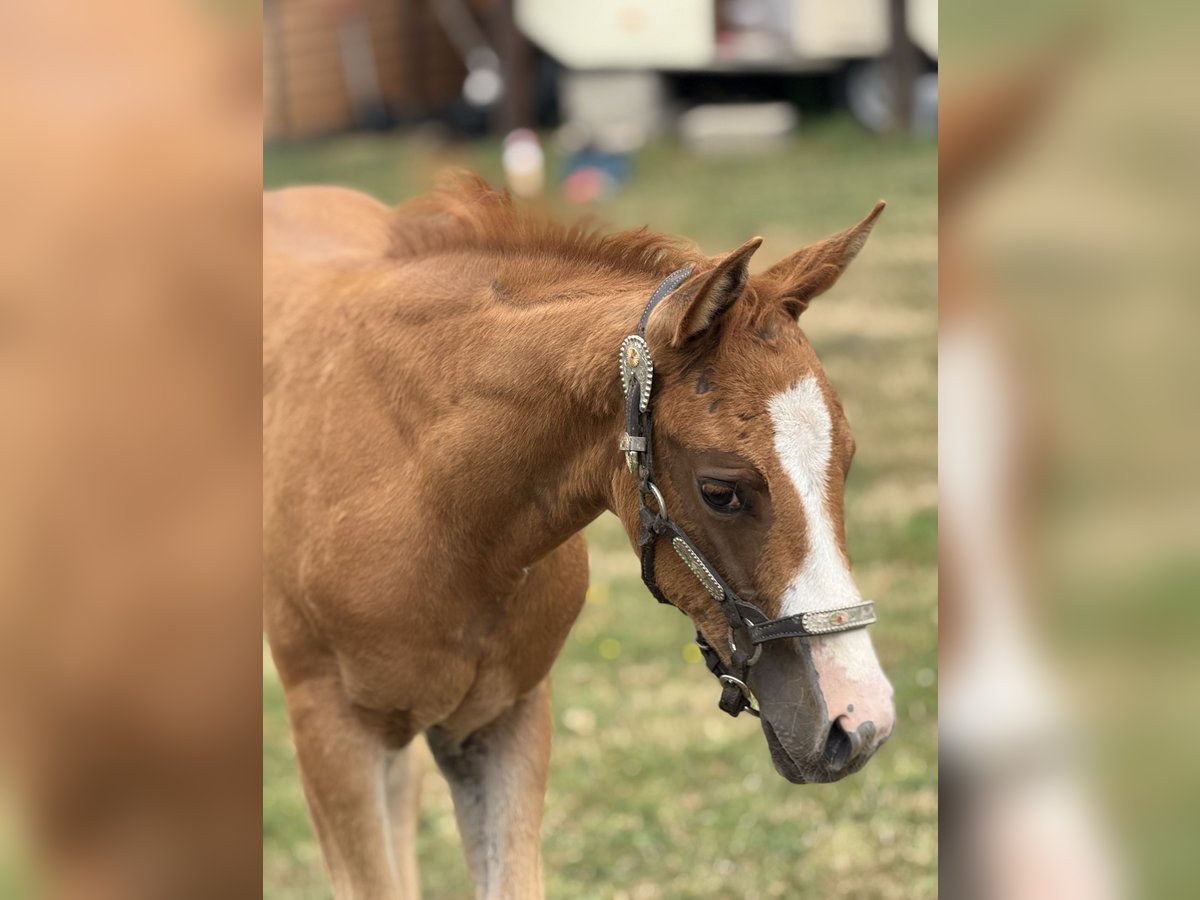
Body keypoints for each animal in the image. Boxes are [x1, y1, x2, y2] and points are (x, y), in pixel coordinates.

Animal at [263, 175, 895, 899]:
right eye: (720, 490)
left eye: (847, 458)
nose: (860, 721)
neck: (429, 502)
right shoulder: (333, 737)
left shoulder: (504, 718)